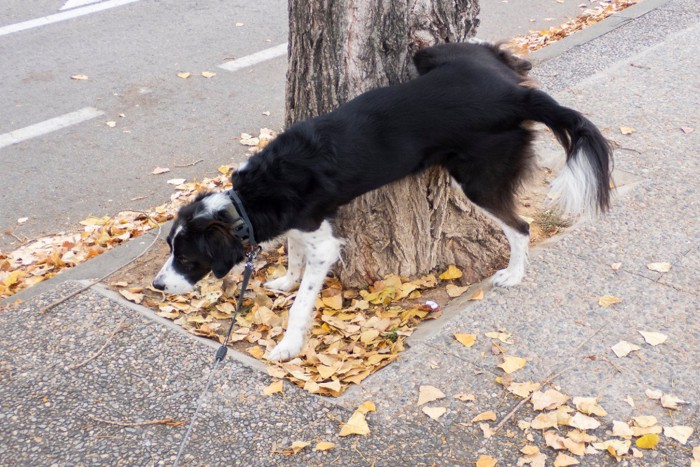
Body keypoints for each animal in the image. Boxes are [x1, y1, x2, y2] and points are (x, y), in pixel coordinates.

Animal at [152, 40, 612, 362]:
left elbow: (302, 301)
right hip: (439, 55)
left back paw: (513, 274)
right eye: (170, 249)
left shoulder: (325, 243)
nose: (157, 286)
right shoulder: (301, 224)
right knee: (507, 57)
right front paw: (286, 280)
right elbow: (293, 252)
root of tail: (514, 98)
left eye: (187, 258)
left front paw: (288, 345)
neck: (249, 198)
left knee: (520, 227)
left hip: (477, 181)